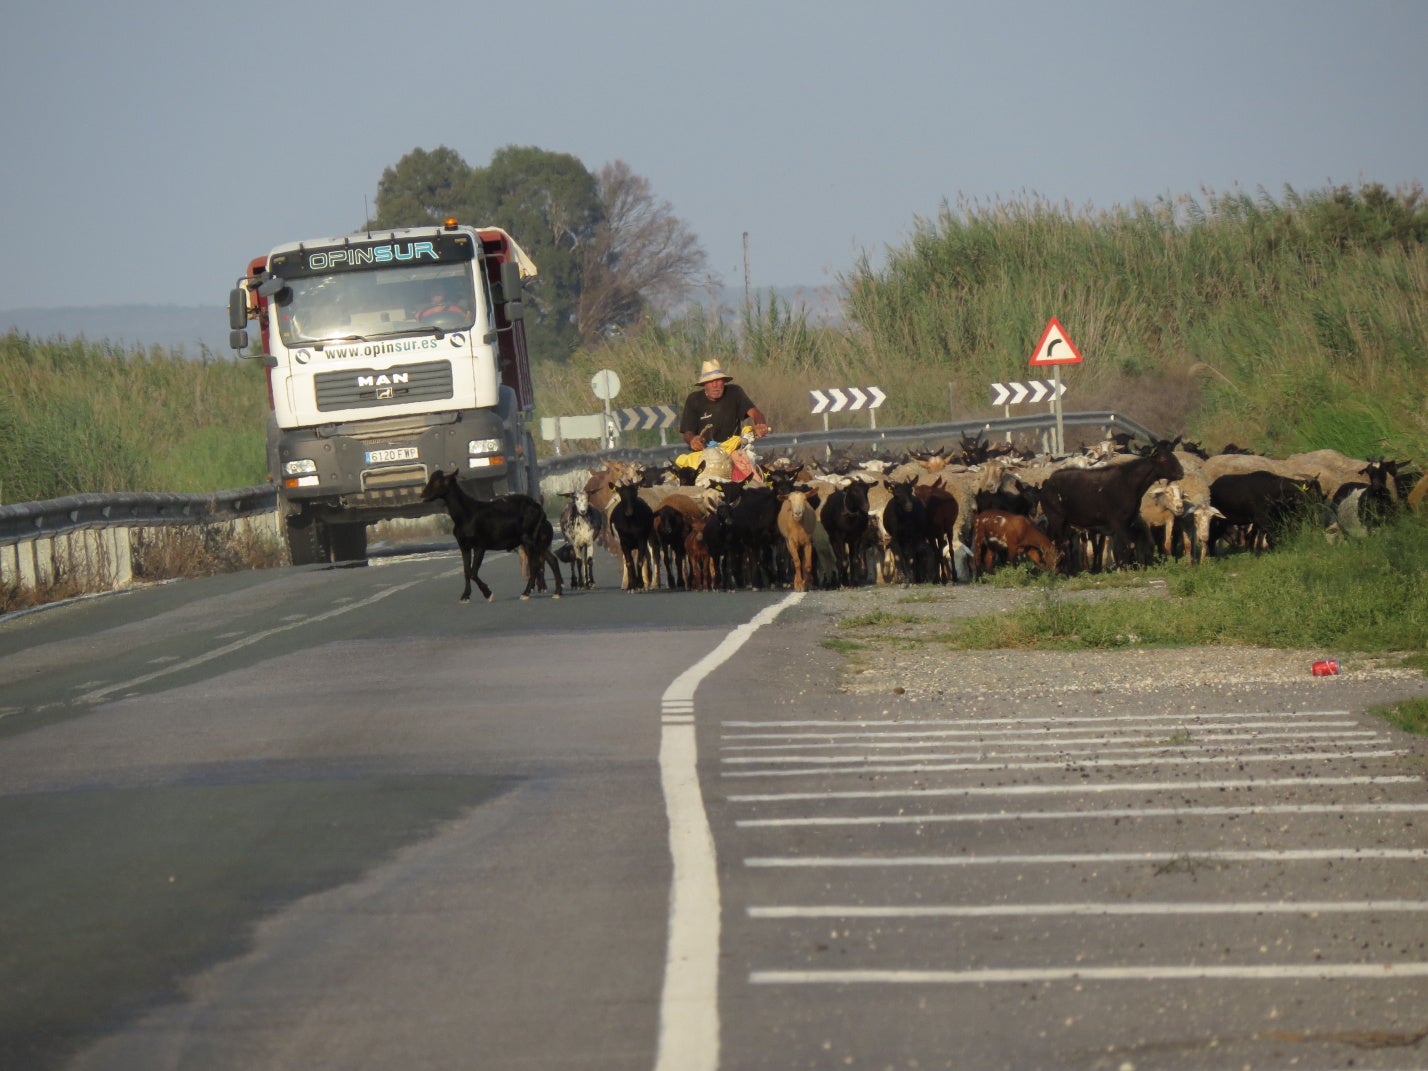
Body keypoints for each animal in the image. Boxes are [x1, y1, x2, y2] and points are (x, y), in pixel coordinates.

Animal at [416, 468, 562, 605]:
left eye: (439, 481)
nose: (422, 495)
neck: (466, 514)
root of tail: (539, 509)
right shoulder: (464, 546)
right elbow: (466, 571)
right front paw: (465, 596)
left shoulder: (480, 546)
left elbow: (473, 572)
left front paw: (488, 594)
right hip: (539, 541)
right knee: (551, 560)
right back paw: (557, 591)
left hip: (529, 539)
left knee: (536, 564)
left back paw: (526, 593)